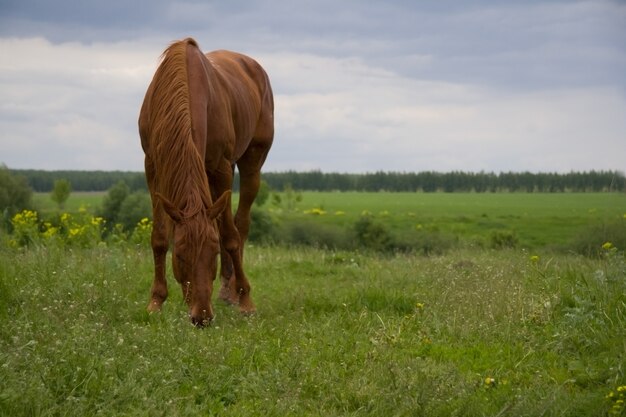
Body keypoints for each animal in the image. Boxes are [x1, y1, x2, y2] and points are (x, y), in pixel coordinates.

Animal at [139, 38, 272, 324]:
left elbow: (230, 237)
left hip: (251, 162)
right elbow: (159, 236)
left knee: (240, 223)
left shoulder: (220, 167)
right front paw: (155, 301)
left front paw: (246, 301)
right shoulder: (152, 165)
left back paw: (231, 293)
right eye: (179, 254)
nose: (201, 317)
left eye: (213, 255)